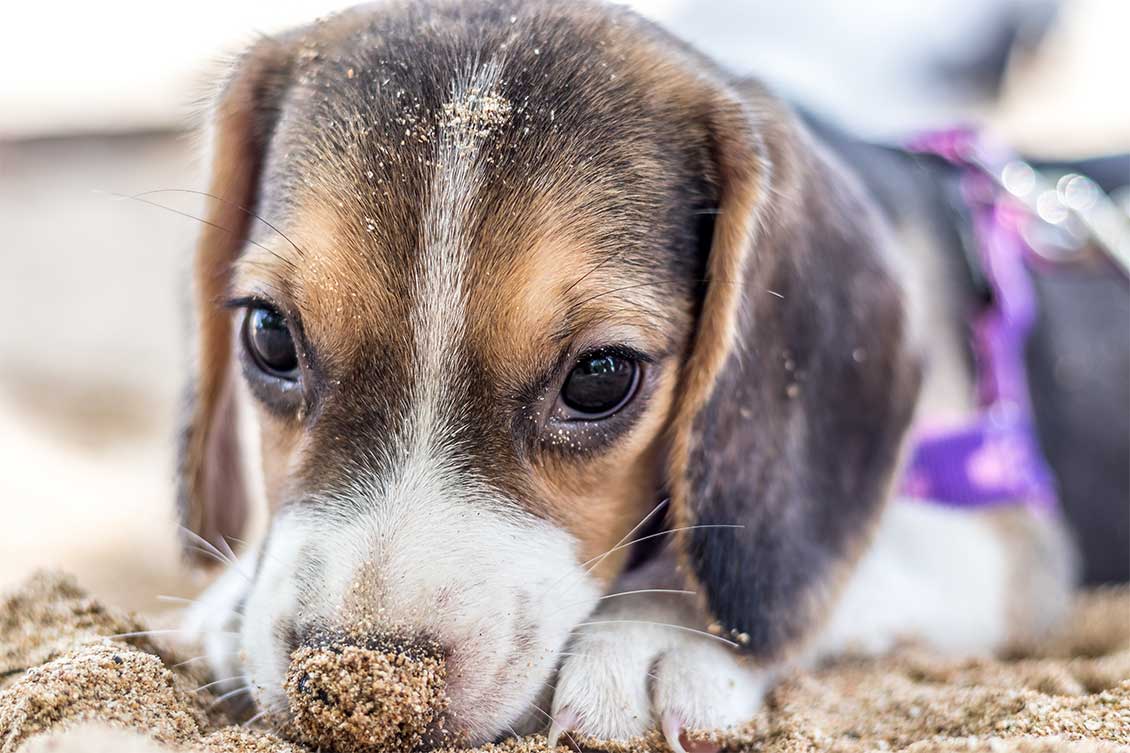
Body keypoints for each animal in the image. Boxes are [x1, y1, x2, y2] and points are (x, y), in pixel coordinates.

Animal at [178, 0, 1075, 737]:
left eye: (601, 377)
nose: (360, 689)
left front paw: (652, 631)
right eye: (269, 335)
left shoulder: (1006, 539)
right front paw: (228, 600)